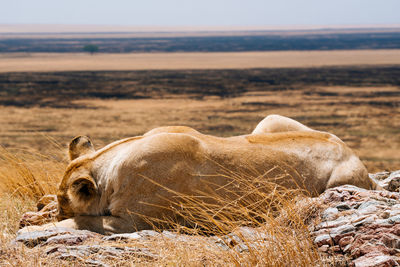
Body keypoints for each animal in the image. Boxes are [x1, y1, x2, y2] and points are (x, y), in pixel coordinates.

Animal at [19, 115, 378, 234]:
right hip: (269, 122)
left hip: (339, 183)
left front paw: (42, 221)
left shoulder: (133, 223)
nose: (55, 206)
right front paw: (38, 208)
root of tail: (352, 152)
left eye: (67, 203)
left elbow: (81, 221)